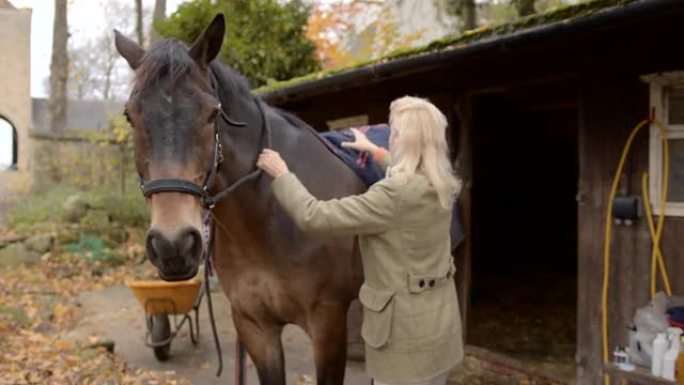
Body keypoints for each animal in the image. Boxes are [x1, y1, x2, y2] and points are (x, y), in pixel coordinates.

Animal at [115, 13, 366, 384]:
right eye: (130, 116)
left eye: (211, 114)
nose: (173, 245)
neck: (268, 220)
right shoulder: (255, 326)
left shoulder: (328, 323)